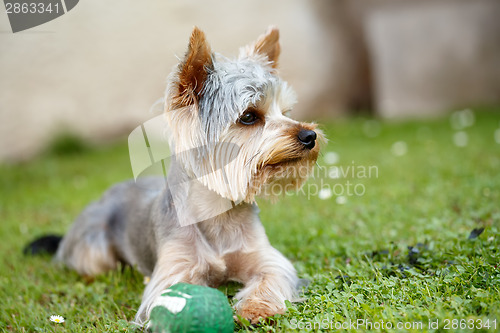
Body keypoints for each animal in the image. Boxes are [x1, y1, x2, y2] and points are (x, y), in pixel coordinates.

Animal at [31, 26, 322, 324]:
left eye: (285, 112)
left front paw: (257, 308)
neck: (218, 213)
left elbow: (273, 274)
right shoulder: (174, 270)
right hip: (93, 245)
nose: (309, 136)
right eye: (249, 116)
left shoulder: (264, 257)